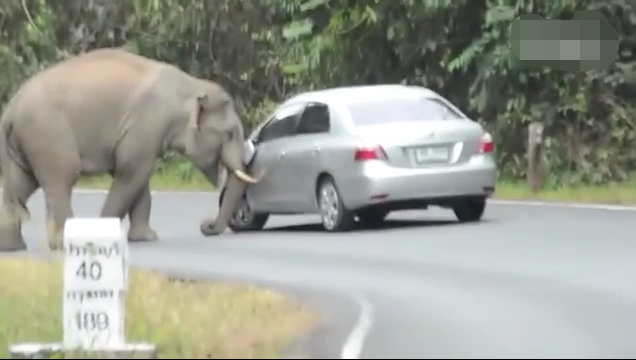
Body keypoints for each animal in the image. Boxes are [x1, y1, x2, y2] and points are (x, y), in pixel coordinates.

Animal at [0, 47, 260, 250]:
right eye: (230, 134)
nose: (205, 225)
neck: (189, 85)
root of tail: (10, 111)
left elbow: (138, 180)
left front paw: (146, 238)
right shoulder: (147, 124)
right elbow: (130, 173)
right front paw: (105, 236)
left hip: (24, 144)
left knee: (21, 183)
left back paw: (12, 247)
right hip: (49, 135)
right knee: (60, 180)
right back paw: (63, 244)